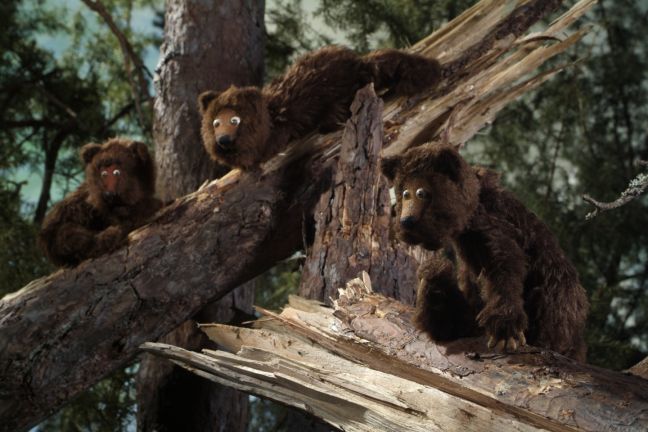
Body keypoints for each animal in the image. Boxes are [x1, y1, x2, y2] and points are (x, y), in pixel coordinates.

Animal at [198, 45, 442, 170]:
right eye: (215, 123)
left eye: (235, 120)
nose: (223, 141)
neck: (271, 114)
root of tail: (360, 63)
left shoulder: (278, 131)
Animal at [380, 143, 589, 361]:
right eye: (404, 193)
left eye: (421, 192)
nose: (406, 221)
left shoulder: (492, 225)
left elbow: (505, 263)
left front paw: (505, 327)